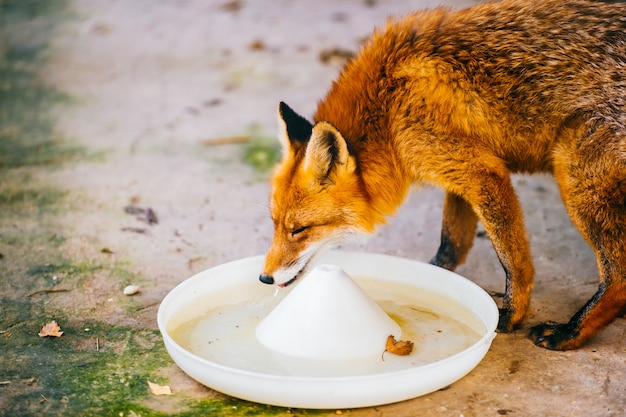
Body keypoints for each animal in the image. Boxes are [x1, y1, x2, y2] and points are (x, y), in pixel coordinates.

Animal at [258, 0, 624, 350]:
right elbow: (452, 243)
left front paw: (510, 315)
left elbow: (514, 261)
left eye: (299, 230)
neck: (386, 111)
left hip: (572, 165)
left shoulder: (483, 172)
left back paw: (570, 333)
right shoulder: (460, 174)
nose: (264, 278)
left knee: (618, 276)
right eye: (275, 224)